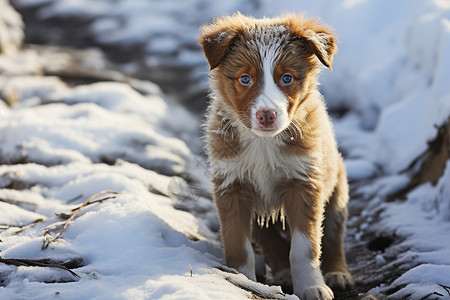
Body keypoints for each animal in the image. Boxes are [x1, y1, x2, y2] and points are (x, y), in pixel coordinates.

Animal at [199, 12, 354, 298]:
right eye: (245, 79)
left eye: (287, 78)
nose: (267, 115)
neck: (264, 144)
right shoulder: (231, 185)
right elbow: (237, 245)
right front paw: (242, 281)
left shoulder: (305, 183)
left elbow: (305, 247)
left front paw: (312, 286)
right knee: (270, 241)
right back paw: (281, 272)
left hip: (337, 190)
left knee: (333, 235)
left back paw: (338, 273)